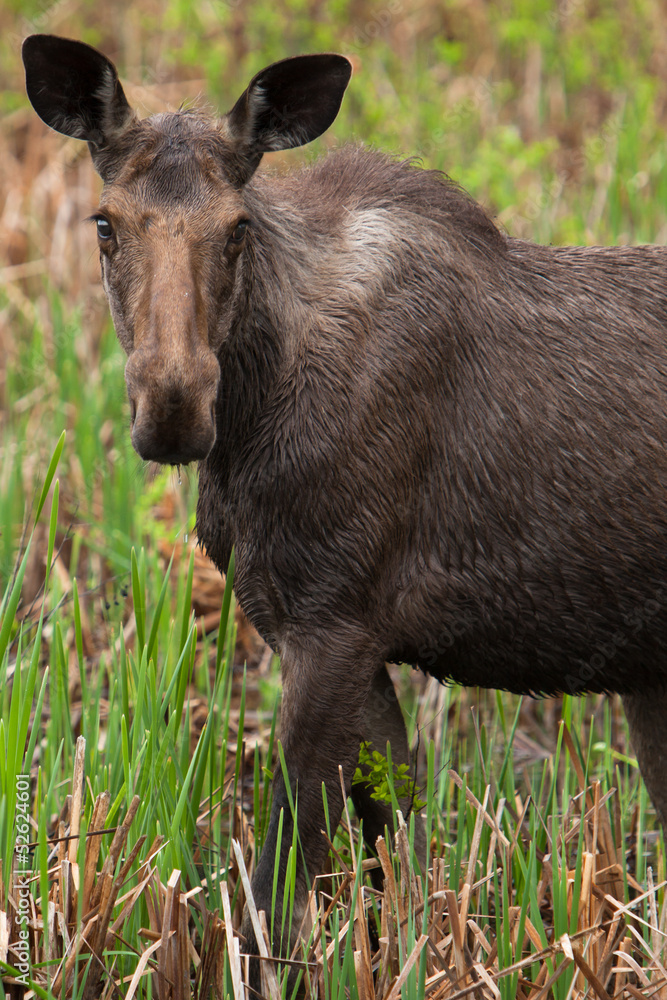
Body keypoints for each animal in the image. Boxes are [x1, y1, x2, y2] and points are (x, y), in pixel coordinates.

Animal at [23, 33, 667, 992]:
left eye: (238, 227)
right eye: (105, 222)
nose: (173, 406)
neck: (250, 416)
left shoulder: (334, 626)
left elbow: (276, 890)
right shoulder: (329, 631)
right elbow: (393, 855)